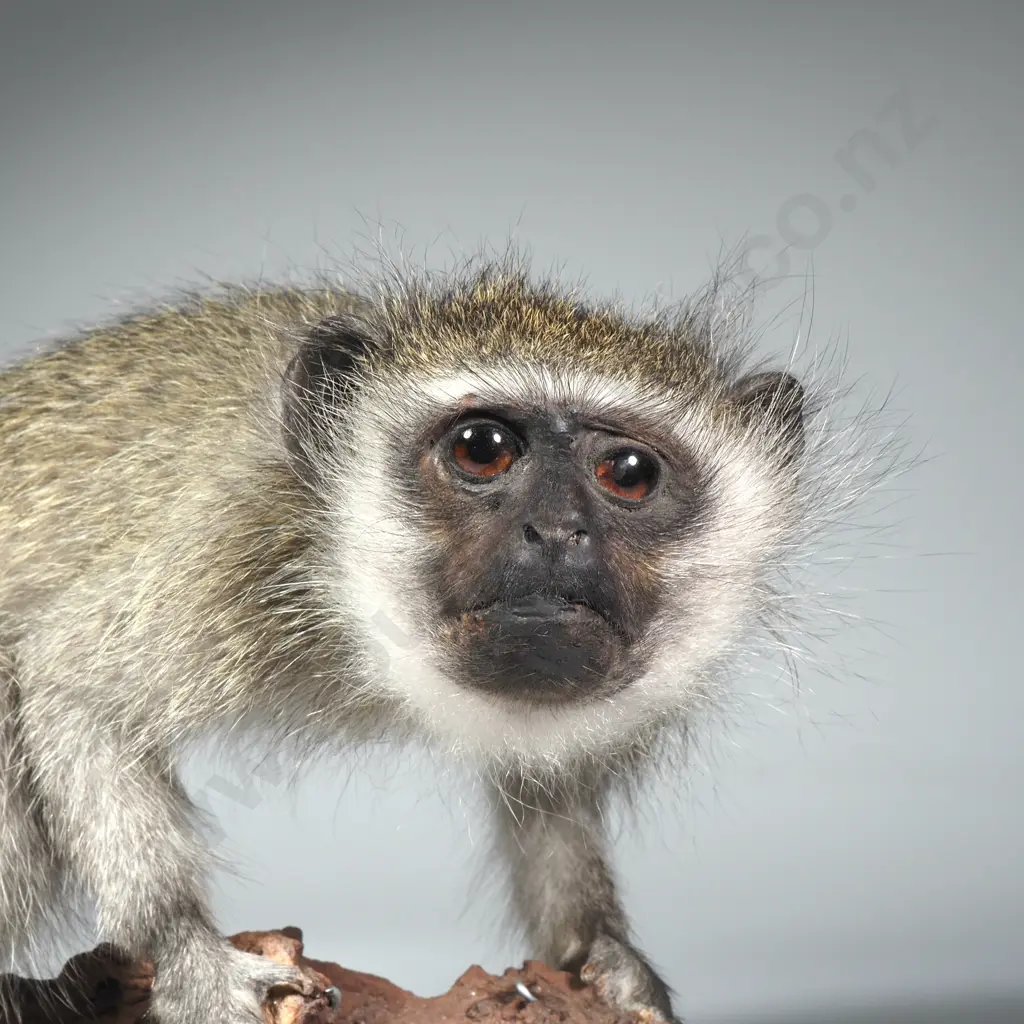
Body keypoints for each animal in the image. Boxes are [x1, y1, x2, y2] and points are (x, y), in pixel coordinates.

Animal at [0, 251, 870, 1024]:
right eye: (481, 450)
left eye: (628, 473)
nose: (556, 533)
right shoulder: (228, 536)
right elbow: (73, 691)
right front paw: (187, 952)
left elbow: (550, 798)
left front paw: (601, 949)